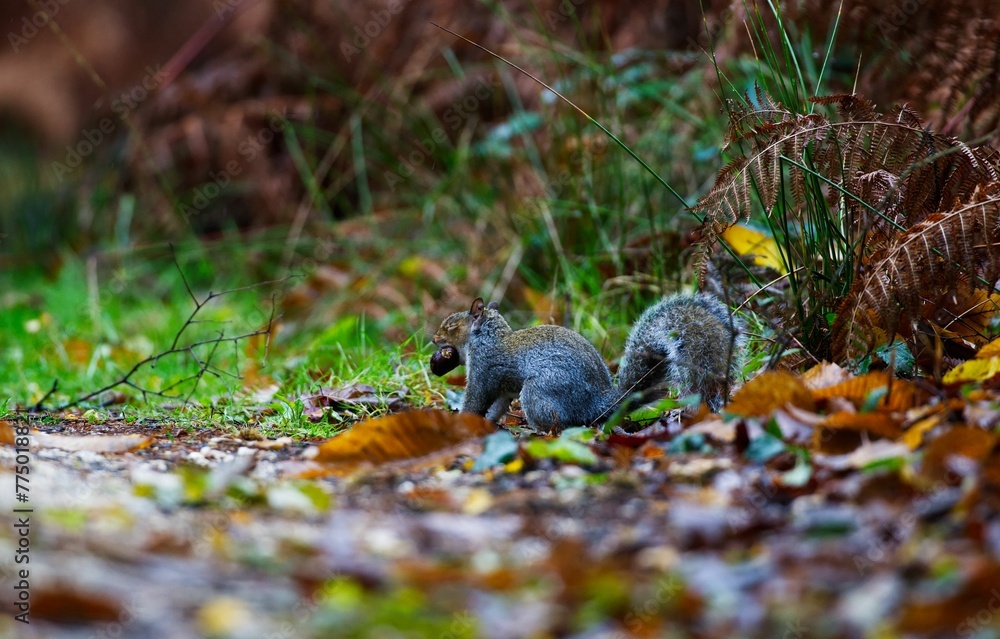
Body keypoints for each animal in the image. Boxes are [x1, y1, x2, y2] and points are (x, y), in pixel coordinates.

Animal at [431, 293, 745, 430]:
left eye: (451, 326)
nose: (433, 339)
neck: (486, 338)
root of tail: (598, 405)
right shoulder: (503, 388)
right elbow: (496, 405)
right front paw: (489, 424)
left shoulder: (485, 370)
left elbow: (476, 398)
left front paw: (462, 420)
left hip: (539, 392)